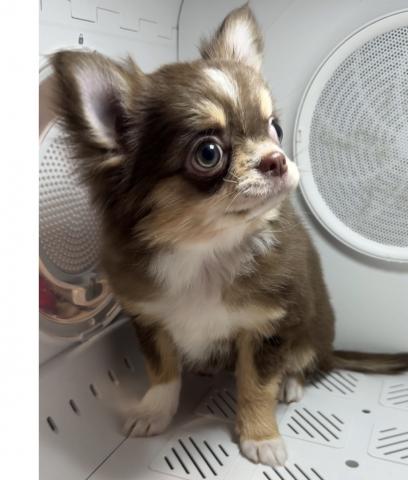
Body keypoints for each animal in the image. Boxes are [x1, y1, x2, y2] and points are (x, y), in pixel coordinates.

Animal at [50, 4, 408, 467]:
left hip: (311, 329)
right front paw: (153, 411)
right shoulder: (148, 315)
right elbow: (162, 369)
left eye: (275, 128)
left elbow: (256, 384)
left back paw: (291, 384)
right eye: (208, 153)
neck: (206, 250)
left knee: (306, 363)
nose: (277, 159)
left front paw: (260, 436)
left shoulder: (270, 326)